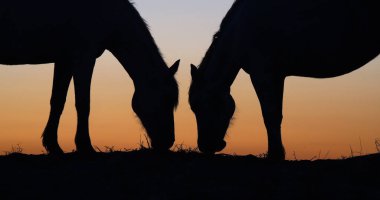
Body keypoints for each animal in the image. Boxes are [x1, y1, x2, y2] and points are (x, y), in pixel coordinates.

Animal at [0, 0, 180, 155]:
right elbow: (83, 103)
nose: (168, 142)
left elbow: (58, 102)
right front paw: (85, 146)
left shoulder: (65, 60)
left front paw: (53, 145)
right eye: (166, 99)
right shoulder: (84, 57)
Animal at [190, 0, 380, 159]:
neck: (240, 31)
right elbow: (276, 115)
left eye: (198, 105)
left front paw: (275, 155)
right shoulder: (277, 75)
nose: (206, 146)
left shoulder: (263, 73)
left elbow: (270, 115)